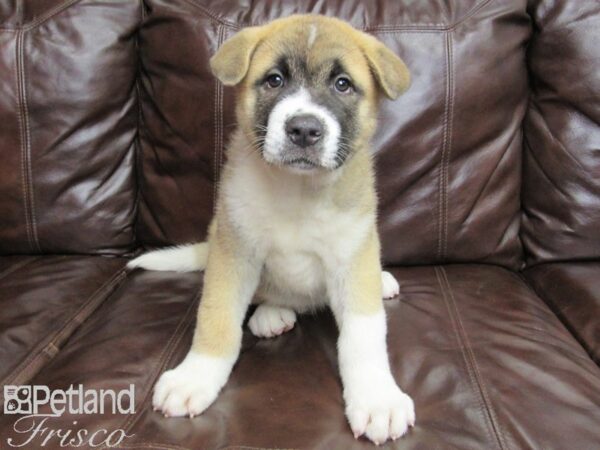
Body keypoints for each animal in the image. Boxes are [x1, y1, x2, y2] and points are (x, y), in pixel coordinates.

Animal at [129, 14, 414, 446]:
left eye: (342, 84)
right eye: (274, 80)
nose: (304, 130)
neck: (298, 190)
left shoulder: (351, 257)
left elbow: (364, 335)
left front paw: (377, 398)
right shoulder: (233, 251)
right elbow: (217, 319)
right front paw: (196, 377)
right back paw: (272, 313)